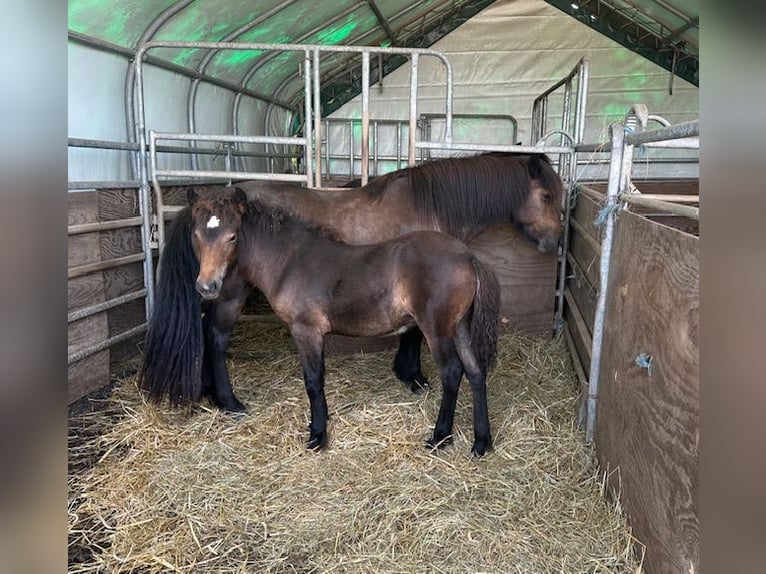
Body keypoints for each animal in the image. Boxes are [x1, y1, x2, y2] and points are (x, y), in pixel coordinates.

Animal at [141, 151, 563, 412]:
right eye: (546, 195)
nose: (555, 242)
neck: (427, 203)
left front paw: (407, 373)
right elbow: (411, 334)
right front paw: (413, 376)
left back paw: (210, 393)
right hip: (229, 292)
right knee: (215, 336)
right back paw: (229, 401)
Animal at [142, 186, 501, 455]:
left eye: (232, 237)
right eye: (197, 235)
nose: (207, 286)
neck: (288, 260)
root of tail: (467, 256)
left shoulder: (306, 330)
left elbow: (313, 380)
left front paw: (317, 435)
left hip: (438, 329)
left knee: (452, 373)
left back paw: (440, 436)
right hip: (460, 327)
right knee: (475, 371)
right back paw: (481, 442)